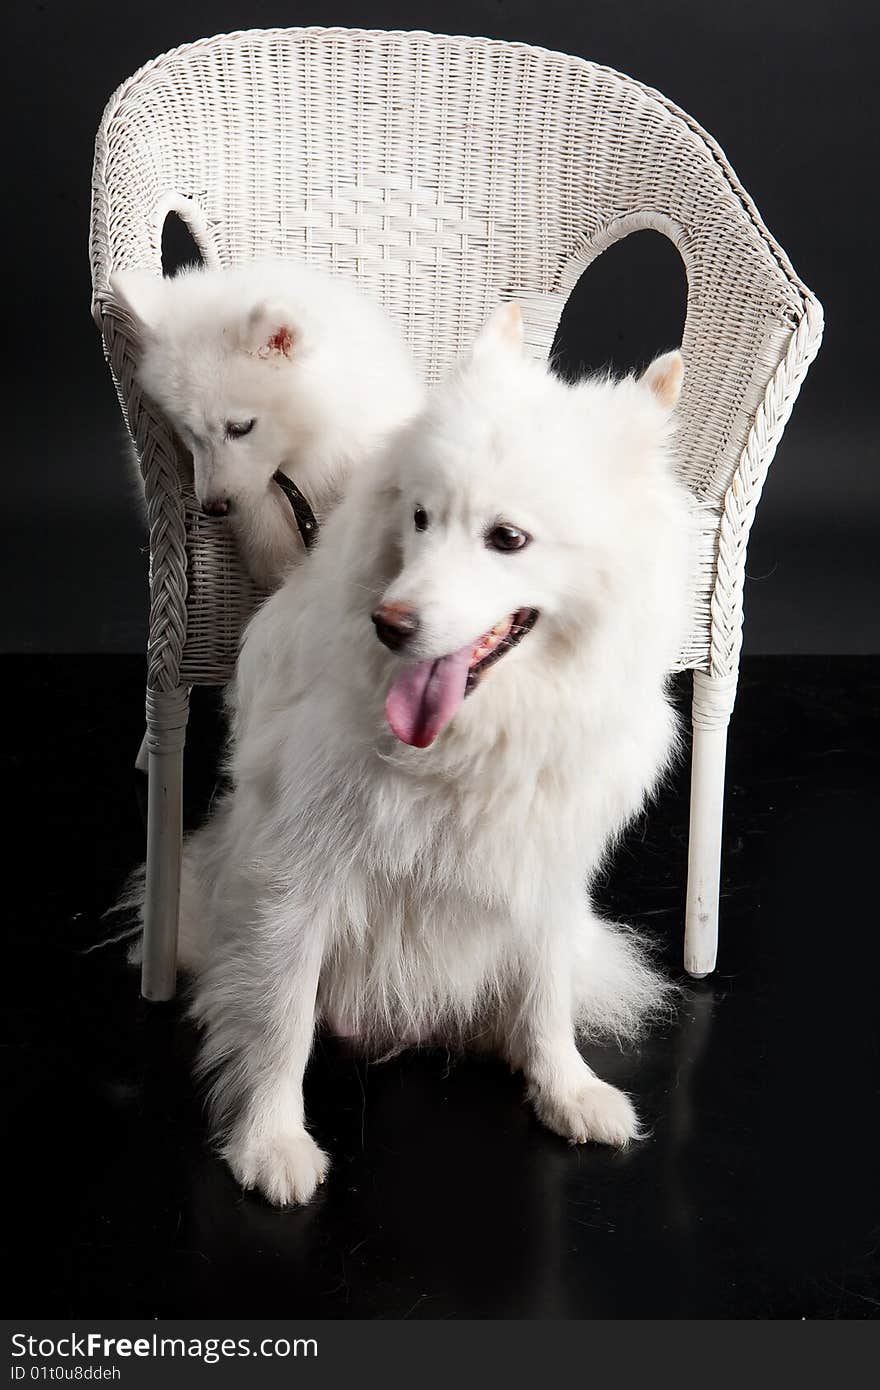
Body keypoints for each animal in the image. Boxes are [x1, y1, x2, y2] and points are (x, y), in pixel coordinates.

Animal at [169, 304, 692, 1206]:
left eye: (507, 538)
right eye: (418, 518)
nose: (390, 624)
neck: (471, 744)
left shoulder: (547, 863)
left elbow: (546, 992)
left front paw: (564, 1086)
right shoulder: (300, 867)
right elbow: (281, 1013)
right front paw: (270, 1141)